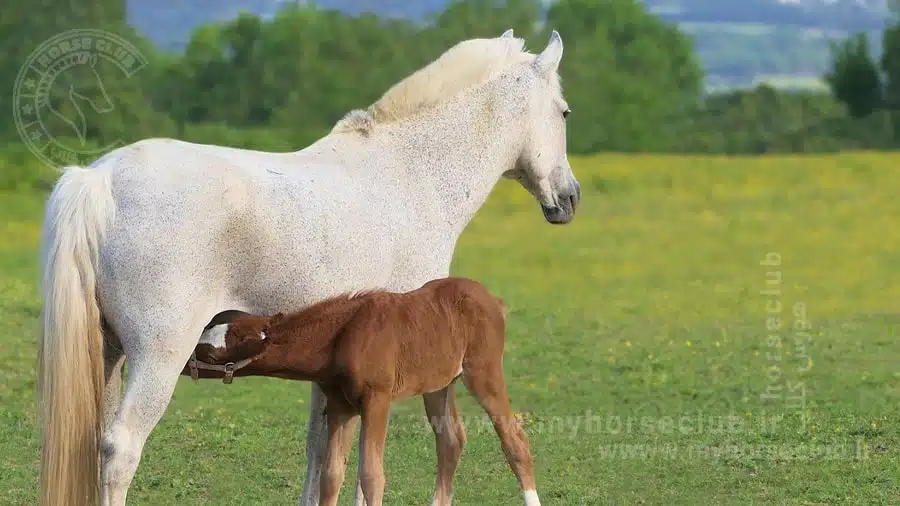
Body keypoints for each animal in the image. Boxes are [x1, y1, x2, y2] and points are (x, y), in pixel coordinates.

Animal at [179, 276, 536, 506]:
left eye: (211, 354)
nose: (183, 363)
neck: (341, 336)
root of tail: (494, 301)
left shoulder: (377, 400)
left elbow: (371, 475)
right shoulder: (341, 404)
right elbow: (332, 474)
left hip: (483, 371)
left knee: (514, 437)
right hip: (439, 382)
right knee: (450, 441)